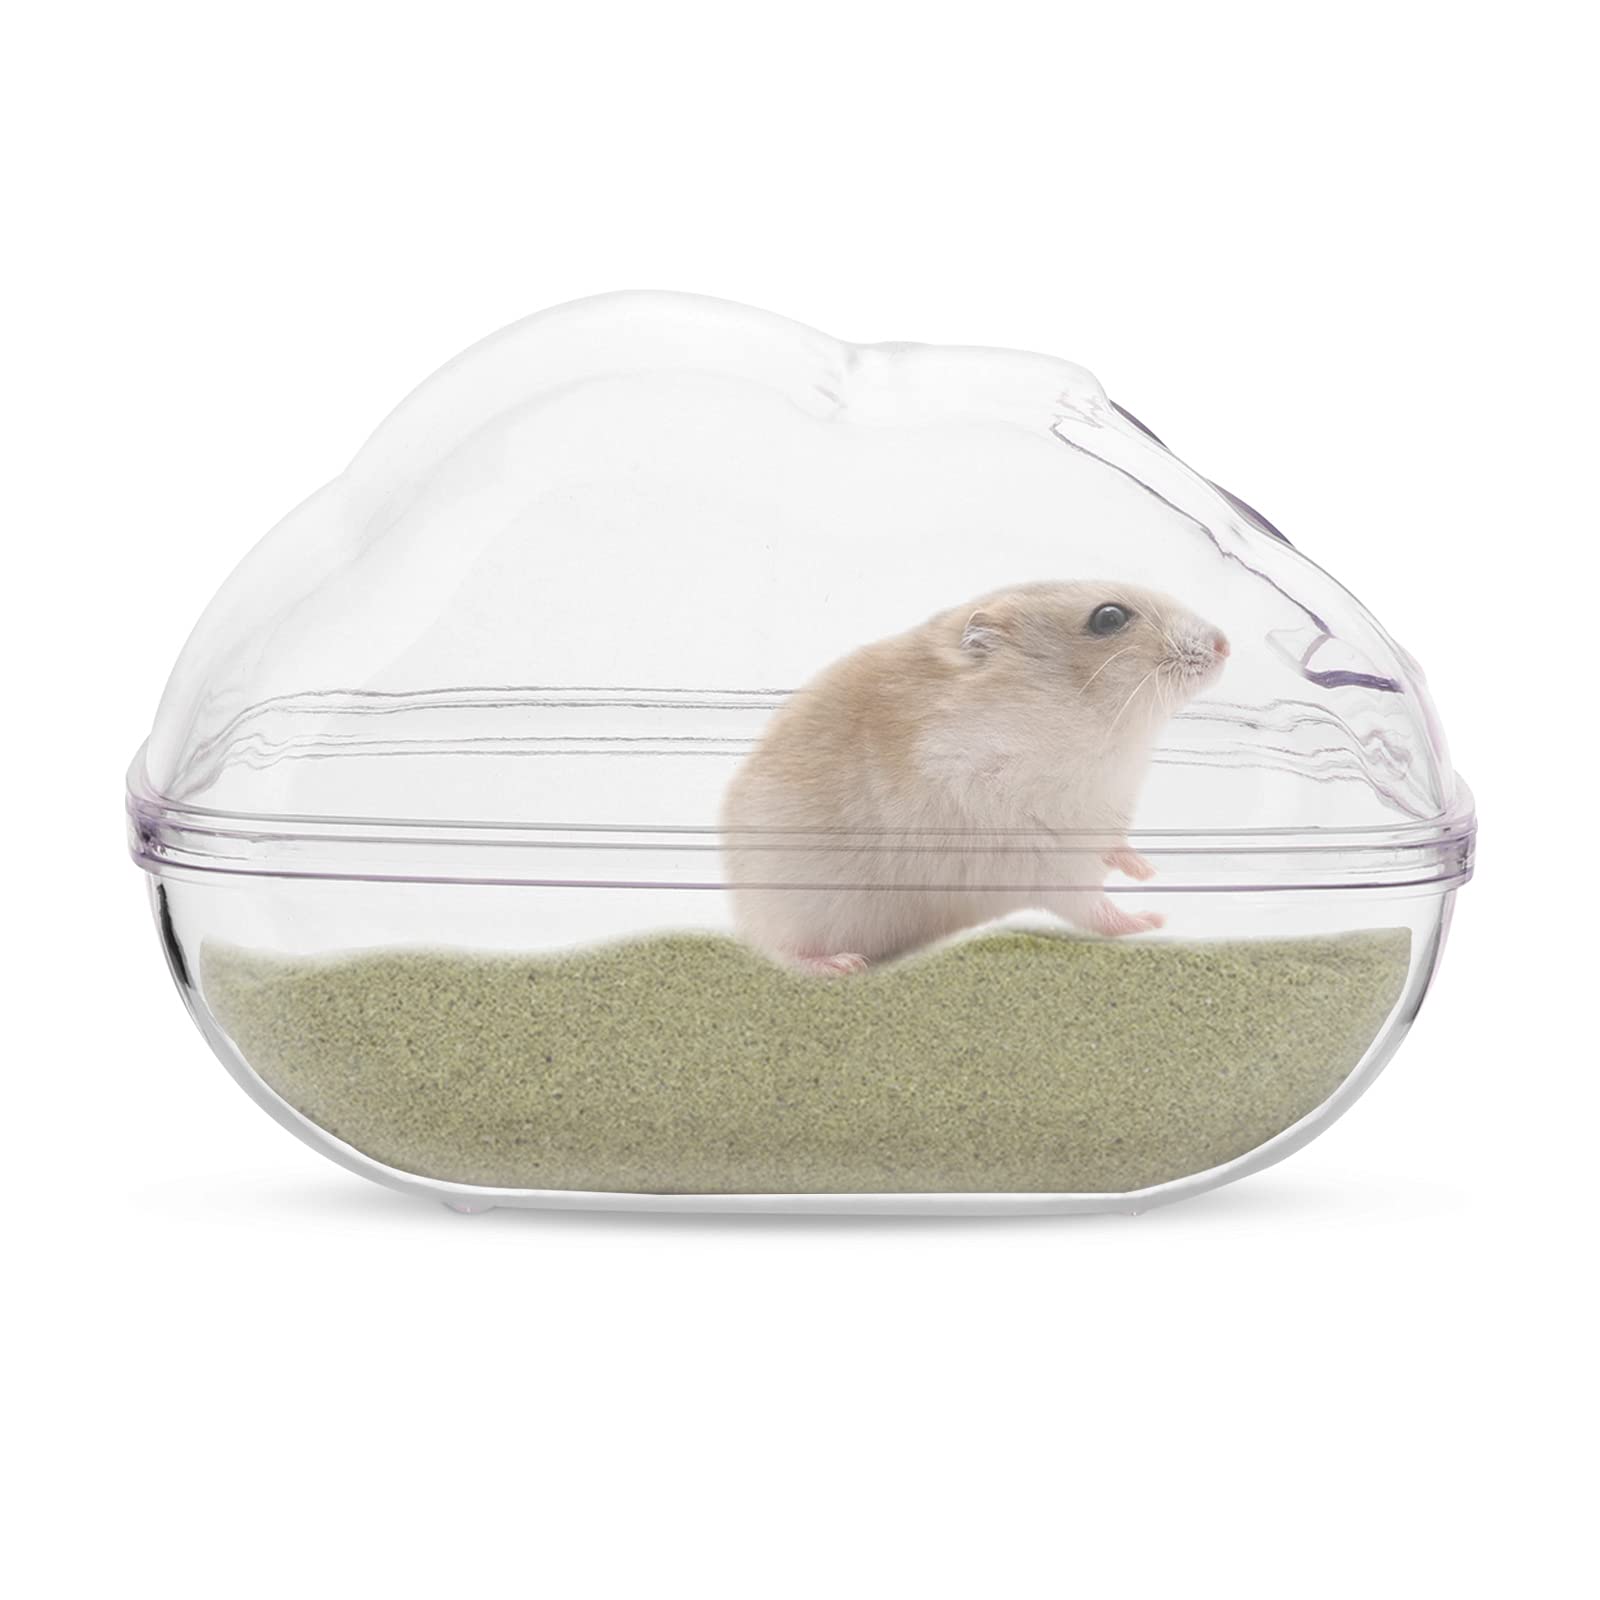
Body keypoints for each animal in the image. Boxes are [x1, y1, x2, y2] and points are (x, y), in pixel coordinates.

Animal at [721, 580, 1228, 974]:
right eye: (1109, 618)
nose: (1225, 643)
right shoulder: (1047, 853)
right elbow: (1093, 908)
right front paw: (1151, 919)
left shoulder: (1098, 822)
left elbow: (1116, 849)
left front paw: (1147, 869)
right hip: (793, 908)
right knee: (781, 951)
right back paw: (840, 964)